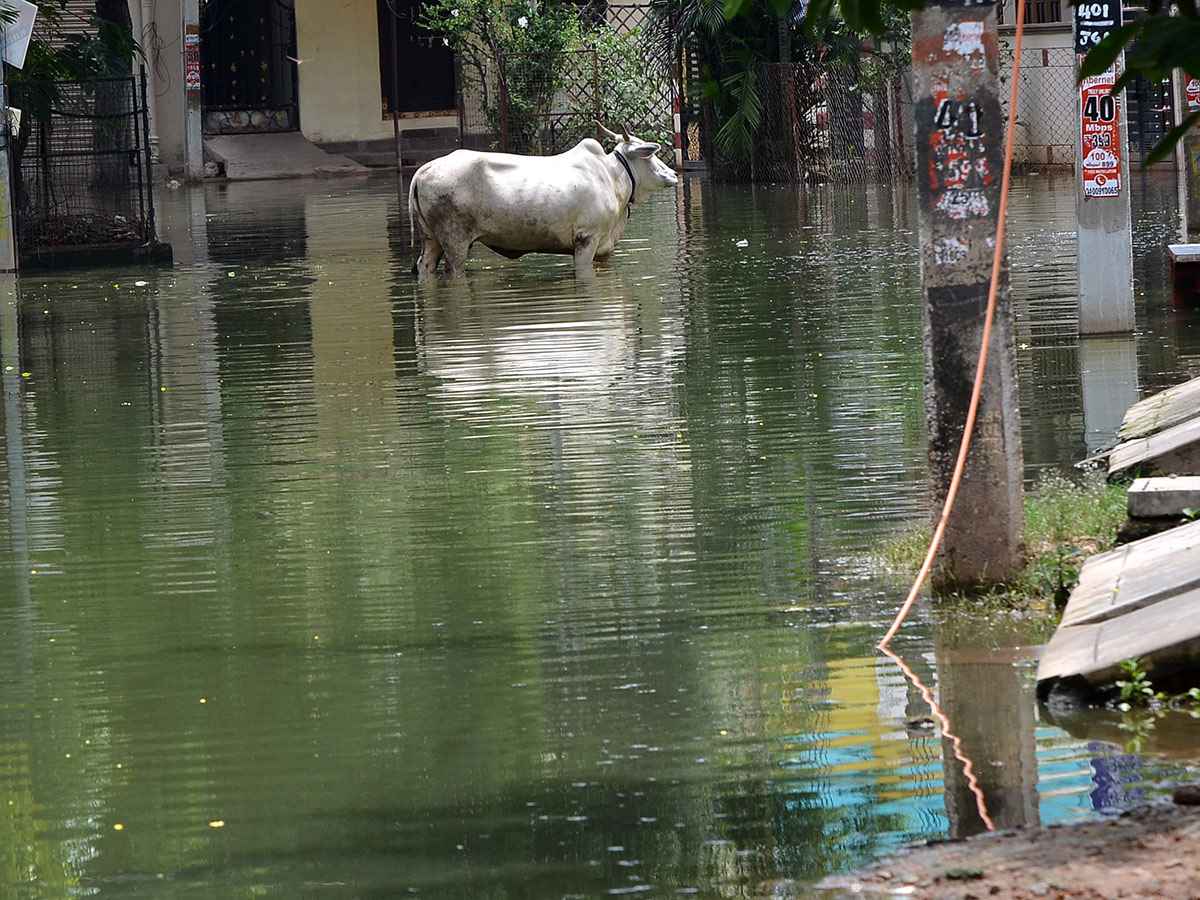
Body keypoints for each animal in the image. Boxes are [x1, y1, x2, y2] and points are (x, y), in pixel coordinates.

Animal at [410, 122, 676, 278]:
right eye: (650, 155)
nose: (673, 174)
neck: (613, 177)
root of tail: (423, 170)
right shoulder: (586, 239)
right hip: (454, 238)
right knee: (453, 269)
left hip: (431, 237)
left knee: (425, 265)